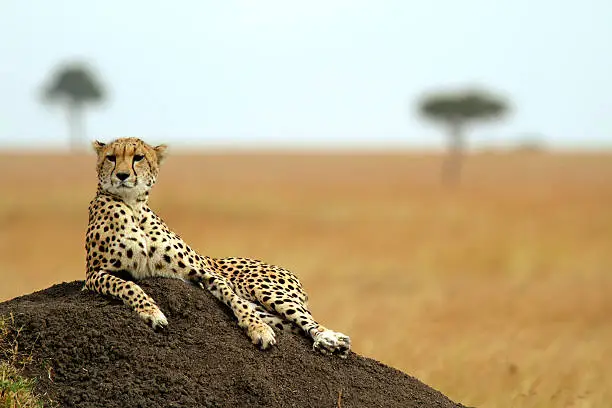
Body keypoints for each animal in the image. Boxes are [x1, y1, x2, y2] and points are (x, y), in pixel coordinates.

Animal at [82, 137, 350, 356]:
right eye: (111, 158)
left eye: (138, 157)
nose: (122, 175)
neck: (133, 206)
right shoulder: (94, 274)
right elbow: (127, 285)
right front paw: (152, 313)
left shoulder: (204, 273)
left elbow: (235, 300)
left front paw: (258, 330)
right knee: (291, 324)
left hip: (263, 289)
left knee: (305, 319)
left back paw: (329, 339)